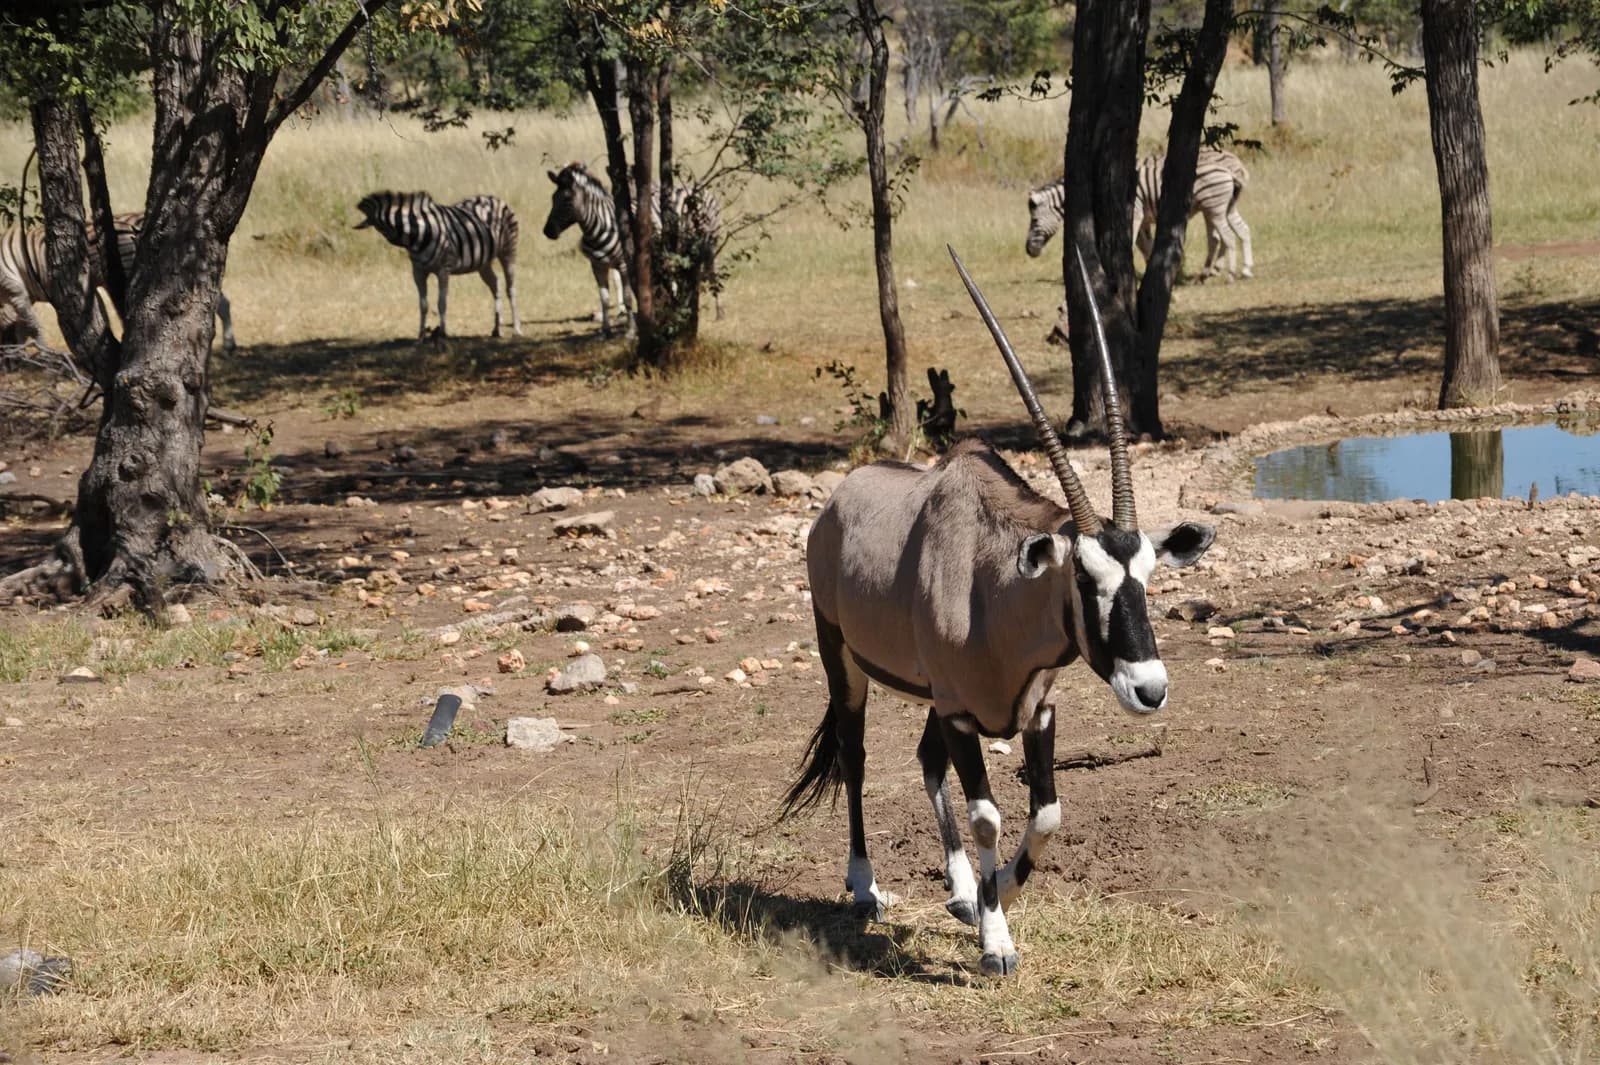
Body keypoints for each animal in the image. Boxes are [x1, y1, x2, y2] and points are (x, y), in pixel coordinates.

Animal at [0, 213, 237, 349]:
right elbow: (23, 323)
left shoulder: (20, 291)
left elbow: (30, 323)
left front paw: (40, 351)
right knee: (218, 301)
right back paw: (229, 342)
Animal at [354, 191, 521, 339]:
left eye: (381, 228)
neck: (420, 234)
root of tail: (494, 198)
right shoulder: (418, 272)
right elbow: (423, 304)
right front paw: (421, 334)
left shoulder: (443, 269)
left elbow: (442, 303)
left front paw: (442, 333)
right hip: (483, 263)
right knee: (496, 285)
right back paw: (497, 329)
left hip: (508, 252)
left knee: (511, 289)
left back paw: (517, 330)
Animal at [542, 162, 723, 337]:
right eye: (552, 198)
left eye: (567, 200)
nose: (548, 231)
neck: (600, 227)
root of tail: (698, 188)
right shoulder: (597, 266)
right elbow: (604, 299)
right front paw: (605, 331)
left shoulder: (624, 264)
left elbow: (628, 297)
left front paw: (630, 330)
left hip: (708, 244)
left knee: (712, 276)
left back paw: (718, 313)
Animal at [783, 246, 1215, 976]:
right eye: (1084, 577)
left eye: (1149, 576)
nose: (1149, 689)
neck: (995, 592)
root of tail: (838, 500)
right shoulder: (962, 714)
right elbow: (989, 814)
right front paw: (996, 941)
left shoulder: (1034, 711)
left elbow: (1046, 814)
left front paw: (998, 893)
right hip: (843, 658)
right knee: (855, 753)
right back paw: (867, 884)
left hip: (931, 697)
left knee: (925, 760)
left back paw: (962, 888)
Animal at [1023, 149, 1253, 281]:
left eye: (1034, 220)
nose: (1028, 251)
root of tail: (1231, 167)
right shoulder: (1143, 219)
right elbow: (1146, 246)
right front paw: (1162, 272)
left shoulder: (1135, 213)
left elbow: (1132, 242)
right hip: (1223, 206)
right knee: (1239, 231)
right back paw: (1242, 270)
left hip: (1214, 207)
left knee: (1225, 236)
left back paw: (1229, 274)